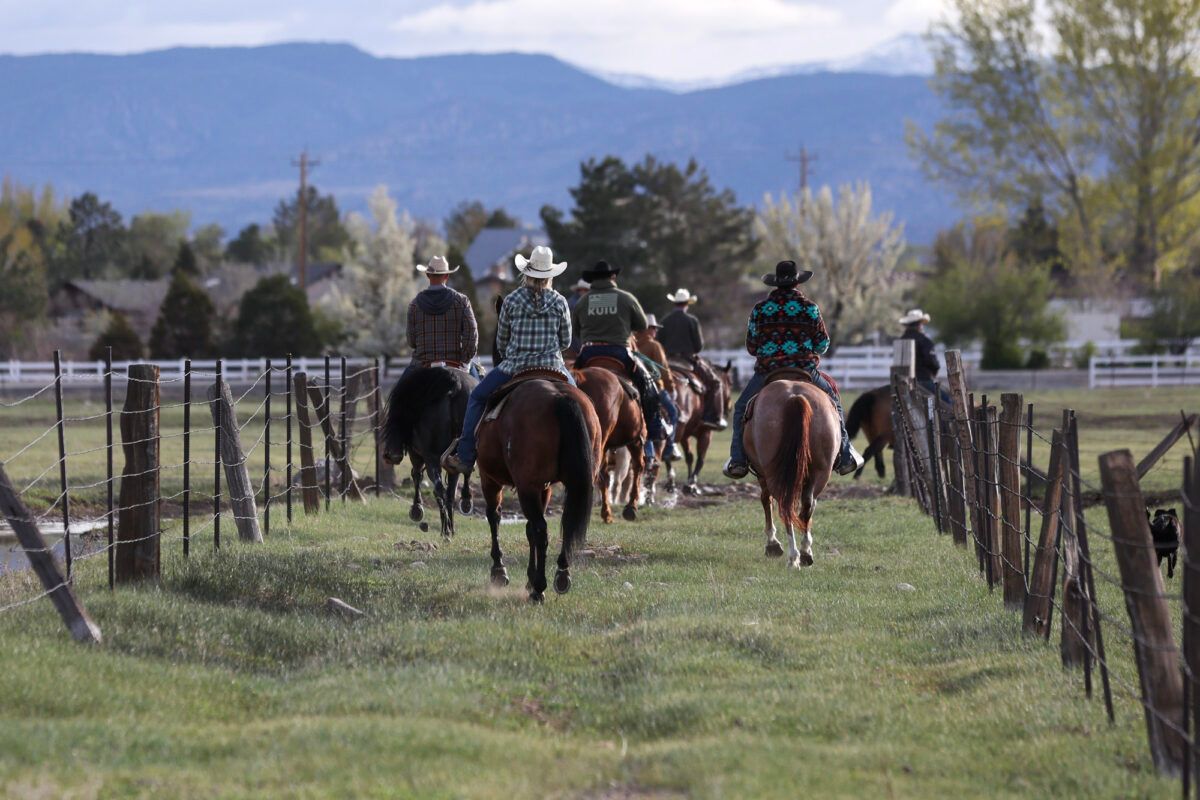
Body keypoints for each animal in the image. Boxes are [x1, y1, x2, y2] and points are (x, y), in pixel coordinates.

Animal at [384, 367, 477, 537]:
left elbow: (417, 475)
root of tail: (456, 385)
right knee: (454, 483)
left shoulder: (416, 454)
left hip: (432, 458)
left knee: (439, 488)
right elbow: (452, 490)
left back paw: (445, 530)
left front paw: (417, 509)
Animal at [475, 379, 604, 604]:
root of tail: (560, 397)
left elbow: (494, 517)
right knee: (563, 525)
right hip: (574, 482)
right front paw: (529, 578)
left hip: (525, 486)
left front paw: (499, 570)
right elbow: (528, 530)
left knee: (540, 530)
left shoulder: (490, 479)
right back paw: (561, 575)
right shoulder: (544, 488)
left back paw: (539, 589)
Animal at [667, 357, 729, 494]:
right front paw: (691, 484)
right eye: (730, 383)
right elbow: (701, 458)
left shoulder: (685, 436)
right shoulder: (706, 433)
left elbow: (689, 457)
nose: (730, 407)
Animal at [744, 376, 840, 568]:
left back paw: (793, 556)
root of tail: (795, 397)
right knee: (807, 504)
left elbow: (765, 500)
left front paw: (772, 544)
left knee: (784, 505)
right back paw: (804, 553)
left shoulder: (762, 474)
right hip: (821, 472)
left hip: (773, 473)